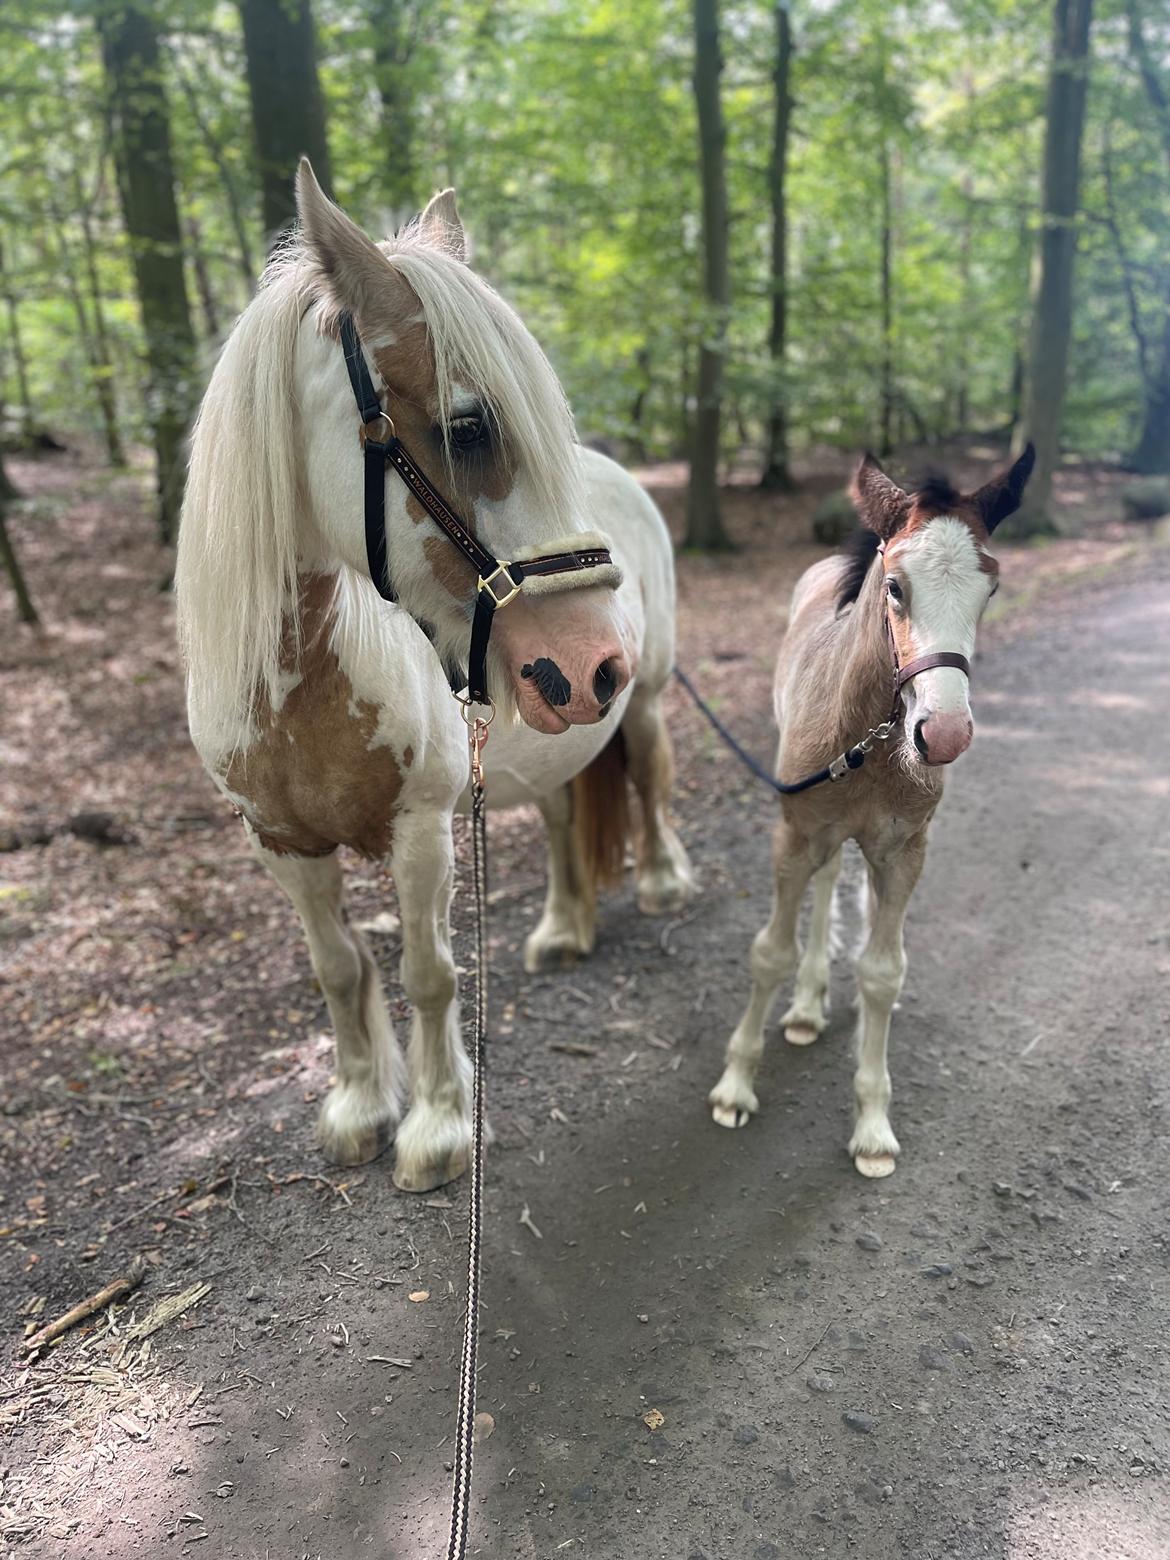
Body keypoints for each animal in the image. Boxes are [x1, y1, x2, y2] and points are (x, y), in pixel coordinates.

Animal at [169, 167, 692, 1191]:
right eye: (468, 424)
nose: (593, 659)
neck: (301, 687)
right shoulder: (281, 845)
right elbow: (338, 970)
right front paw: (358, 1108)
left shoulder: (419, 831)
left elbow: (429, 974)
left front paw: (441, 1127)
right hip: (551, 728)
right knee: (562, 814)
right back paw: (561, 928)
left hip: (640, 704)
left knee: (648, 779)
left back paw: (659, 882)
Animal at [714, 446, 1035, 1173]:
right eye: (894, 587)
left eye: (991, 589)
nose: (942, 734)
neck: (869, 739)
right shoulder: (793, 836)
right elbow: (769, 952)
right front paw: (736, 1086)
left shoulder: (904, 852)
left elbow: (883, 972)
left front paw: (872, 1125)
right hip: (816, 831)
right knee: (827, 881)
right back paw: (805, 1006)